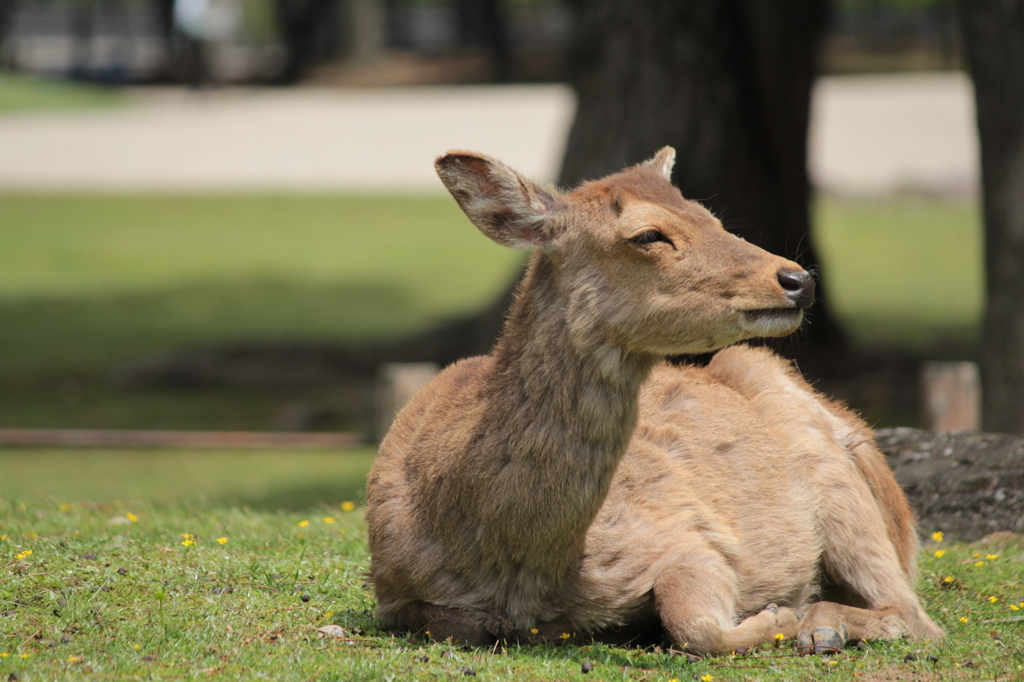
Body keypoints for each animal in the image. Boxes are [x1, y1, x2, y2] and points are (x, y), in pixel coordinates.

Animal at [366, 147, 942, 655]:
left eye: (711, 217)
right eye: (647, 235)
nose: (797, 279)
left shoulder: (685, 535)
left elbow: (697, 625)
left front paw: (778, 616)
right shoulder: (391, 590)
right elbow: (455, 624)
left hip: (839, 483)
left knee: (916, 616)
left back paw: (817, 625)